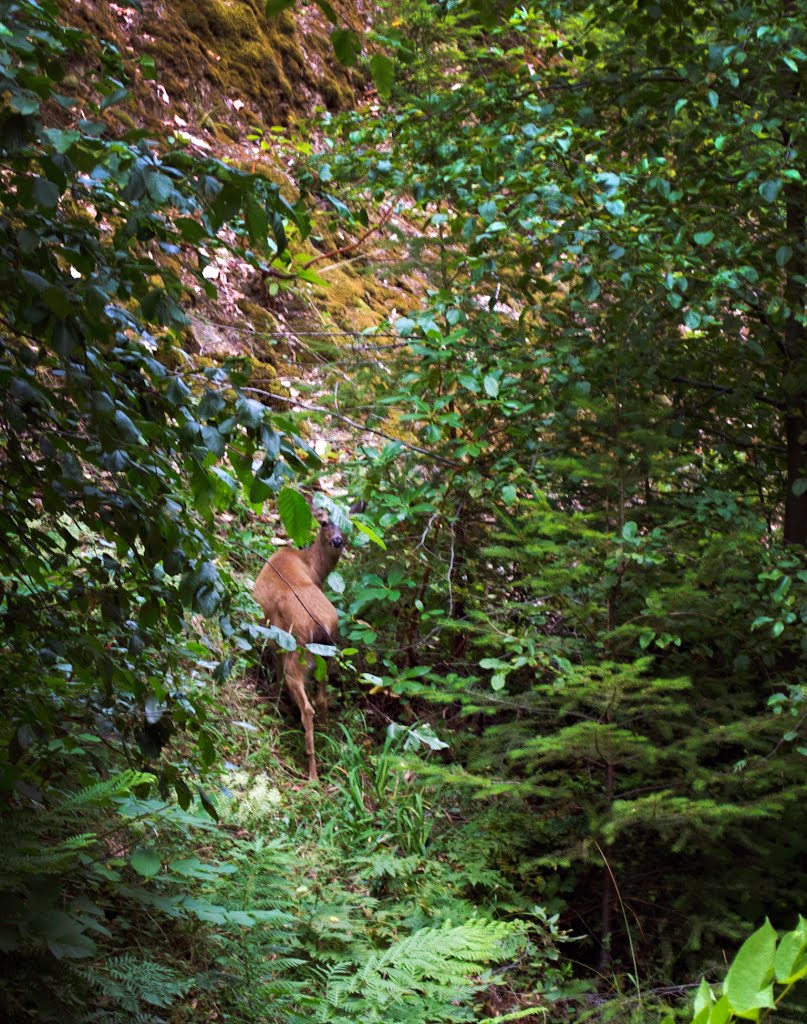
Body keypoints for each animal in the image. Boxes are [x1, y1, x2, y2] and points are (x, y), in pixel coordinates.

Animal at [251, 499, 366, 778]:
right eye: (324, 523)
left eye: (347, 523)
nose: (337, 540)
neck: (311, 566)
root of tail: (320, 625)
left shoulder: (275, 636)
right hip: (329, 655)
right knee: (322, 699)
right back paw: (328, 742)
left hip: (298, 651)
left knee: (307, 705)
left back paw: (312, 771)